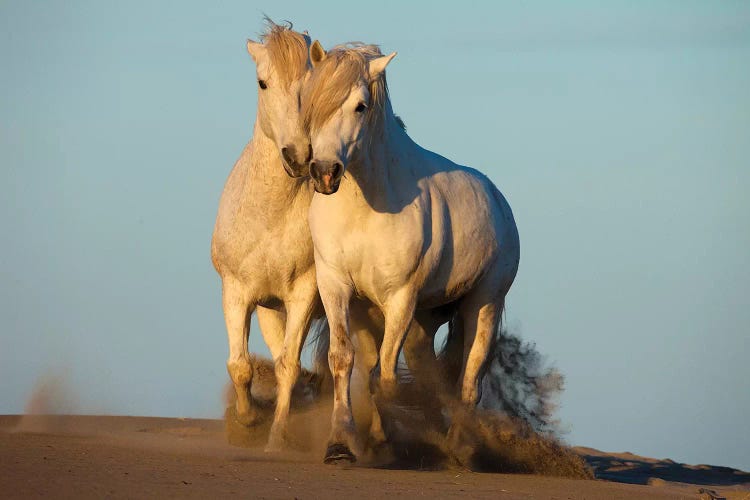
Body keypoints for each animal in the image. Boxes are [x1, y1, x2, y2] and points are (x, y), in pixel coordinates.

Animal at [302, 41, 520, 462]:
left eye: (360, 106)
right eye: (312, 100)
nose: (324, 172)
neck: (364, 207)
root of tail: (498, 200)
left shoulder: (400, 297)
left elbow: (384, 376)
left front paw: (386, 439)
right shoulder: (336, 286)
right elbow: (345, 360)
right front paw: (341, 443)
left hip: (483, 304)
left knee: (470, 378)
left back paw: (460, 448)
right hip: (424, 319)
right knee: (426, 369)